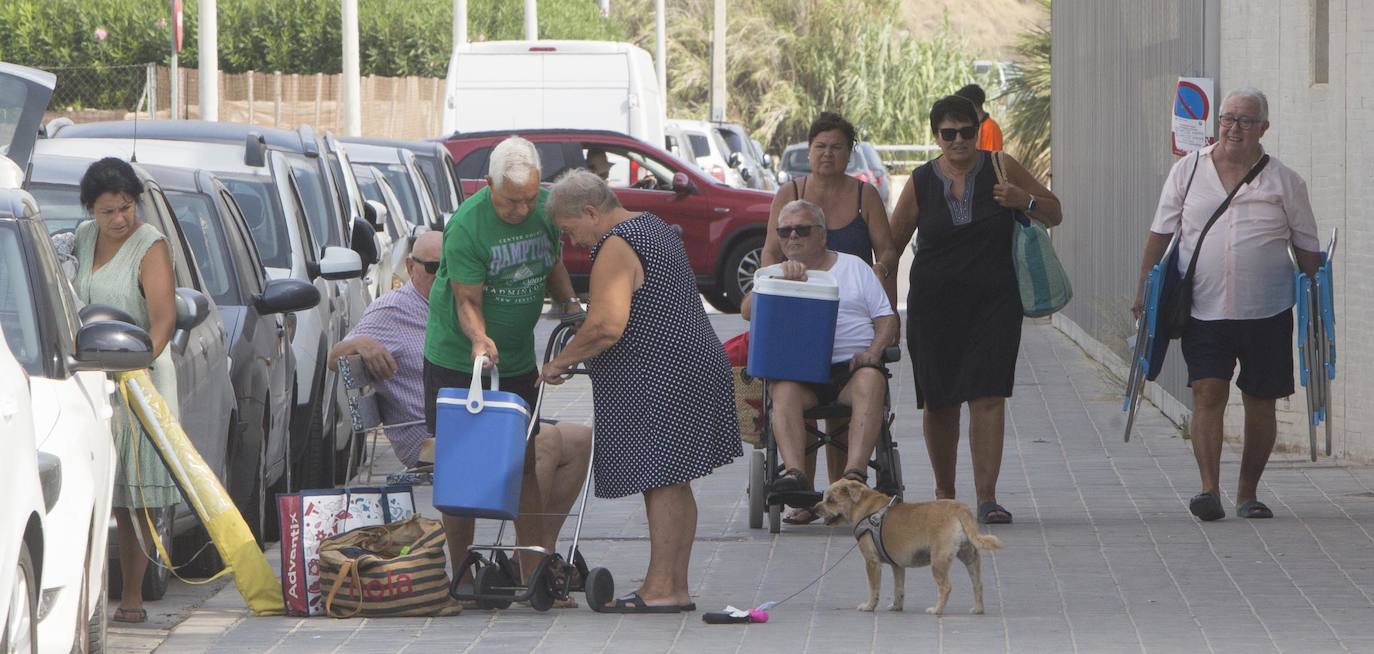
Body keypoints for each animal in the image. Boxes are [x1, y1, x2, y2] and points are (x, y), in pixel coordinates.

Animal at [807, 480, 1005, 612]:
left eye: (831, 500)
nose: (814, 509)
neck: (865, 507)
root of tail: (960, 509)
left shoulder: (871, 562)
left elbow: (874, 588)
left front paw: (869, 606)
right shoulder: (897, 566)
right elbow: (899, 589)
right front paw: (897, 606)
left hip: (938, 561)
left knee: (946, 587)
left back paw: (937, 610)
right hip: (970, 557)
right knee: (978, 584)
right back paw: (978, 609)